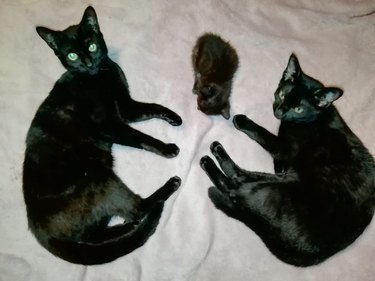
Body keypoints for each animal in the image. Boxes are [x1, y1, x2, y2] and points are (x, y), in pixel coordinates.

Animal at [22, 7, 184, 264]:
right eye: (72, 56)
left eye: (91, 46)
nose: (88, 63)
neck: (97, 77)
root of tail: (40, 233)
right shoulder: (111, 125)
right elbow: (141, 138)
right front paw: (168, 148)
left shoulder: (127, 108)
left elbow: (152, 107)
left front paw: (174, 117)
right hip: (100, 177)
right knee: (136, 208)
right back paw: (166, 189)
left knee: (102, 232)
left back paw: (128, 230)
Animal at [203, 53, 375, 266]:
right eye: (283, 95)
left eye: (299, 109)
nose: (278, 112)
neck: (316, 117)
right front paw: (279, 166)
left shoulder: (284, 148)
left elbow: (264, 134)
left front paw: (243, 121)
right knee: (240, 180)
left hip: (273, 189)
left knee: (234, 183)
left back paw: (211, 158)